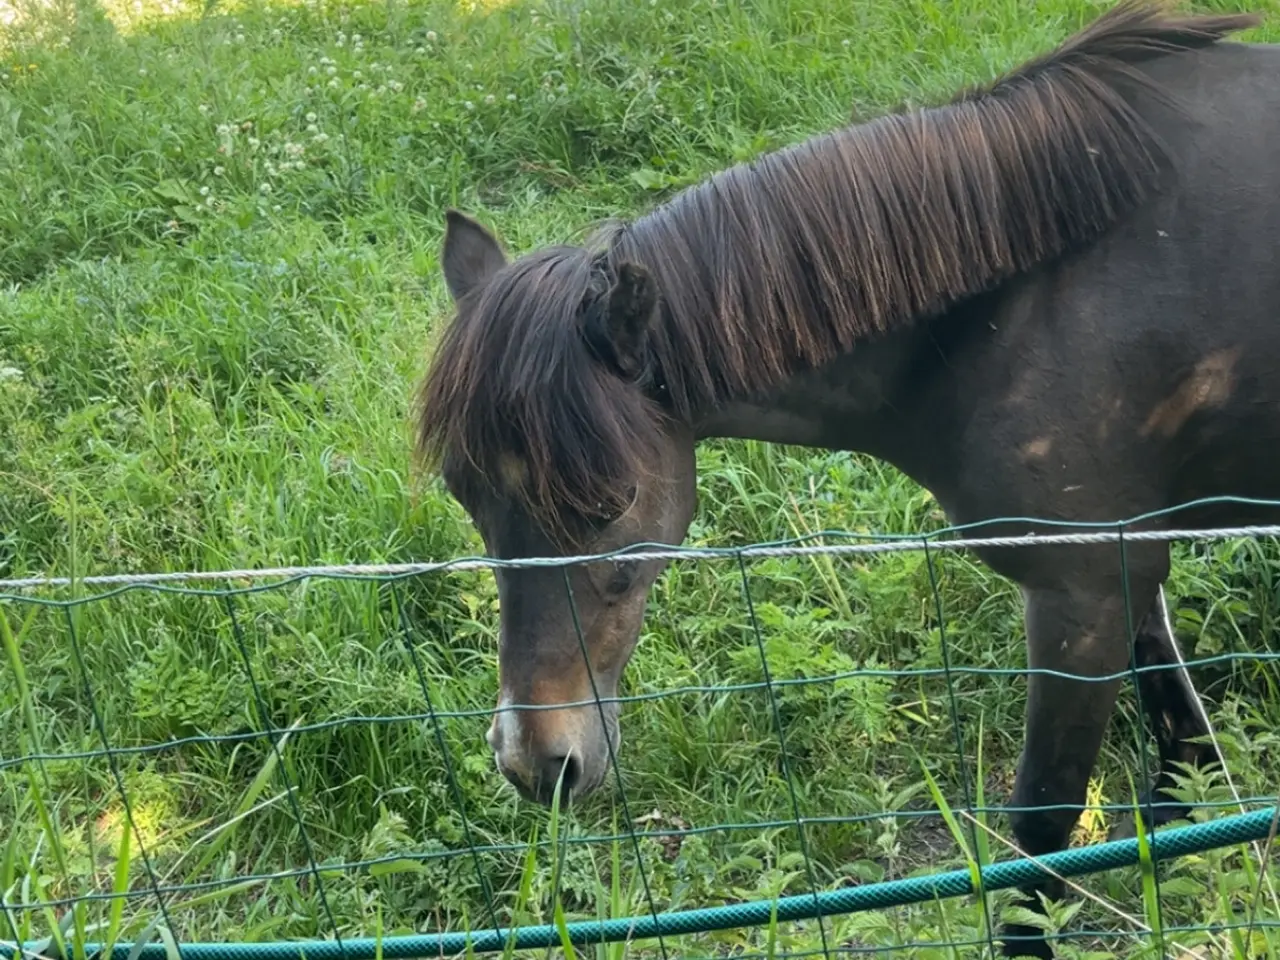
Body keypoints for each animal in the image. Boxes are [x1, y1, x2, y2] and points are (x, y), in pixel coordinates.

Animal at [414, 2, 1278, 955]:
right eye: (465, 493)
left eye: (610, 503)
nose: (535, 762)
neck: (1015, 306)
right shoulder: (1128, 551)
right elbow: (1177, 718)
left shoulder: (1078, 592)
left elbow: (1041, 832)